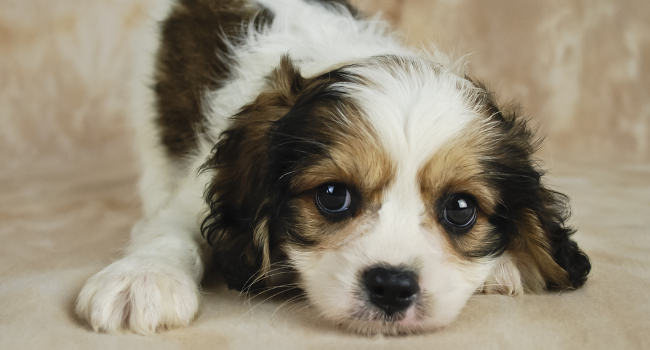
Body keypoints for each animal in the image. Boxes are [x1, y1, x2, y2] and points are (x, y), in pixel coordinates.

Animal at [74, 0, 588, 334]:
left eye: (461, 209)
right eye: (333, 197)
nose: (392, 287)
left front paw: (505, 265)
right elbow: (172, 228)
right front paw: (143, 277)